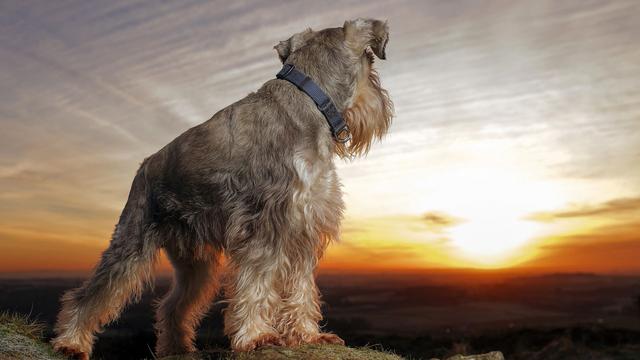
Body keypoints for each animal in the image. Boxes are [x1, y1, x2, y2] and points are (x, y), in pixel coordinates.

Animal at [53, 18, 396, 358]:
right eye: (371, 63)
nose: (383, 103)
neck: (309, 101)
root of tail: (144, 166)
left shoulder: (303, 229)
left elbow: (301, 289)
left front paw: (308, 335)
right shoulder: (264, 227)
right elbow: (257, 284)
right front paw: (258, 336)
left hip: (195, 263)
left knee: (173, 306)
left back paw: (177, 349)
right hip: (131, 241)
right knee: (92, 294)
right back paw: (71, 343)